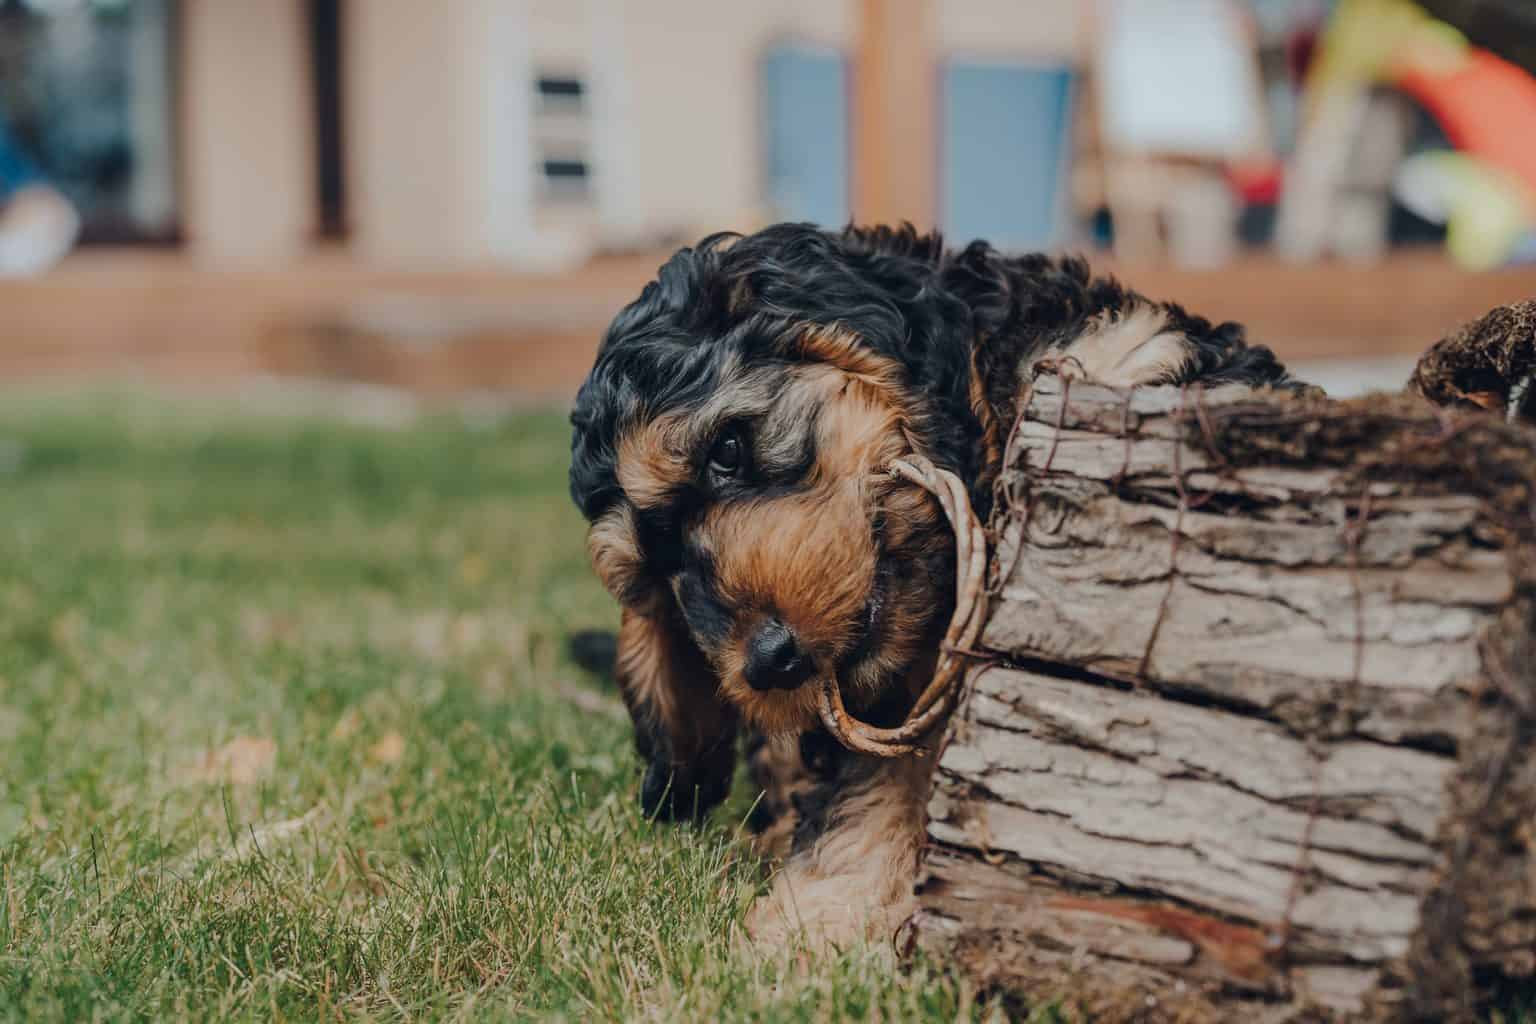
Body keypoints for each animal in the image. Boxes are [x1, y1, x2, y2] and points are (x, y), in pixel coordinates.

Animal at [571, 224, 1290, 945]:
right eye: (660, 581)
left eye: (726, 449)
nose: (769, 662)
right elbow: (873, 785)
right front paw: (817, 930)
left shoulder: (1136, 350)